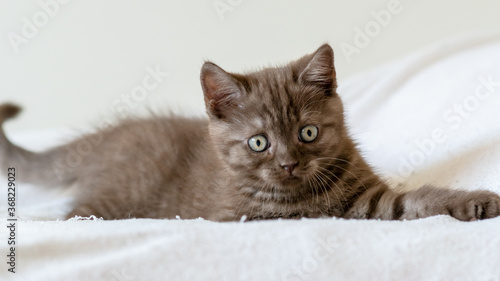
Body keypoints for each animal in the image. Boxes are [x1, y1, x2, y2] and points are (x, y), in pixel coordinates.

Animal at [0, 43, 500, 220]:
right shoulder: (246, 219)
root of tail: (107, 136)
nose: (288, 164)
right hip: (111, 201)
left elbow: (415, 200)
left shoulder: (368, 198)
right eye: (259, 142)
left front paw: (475, 201)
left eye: (308, 134)